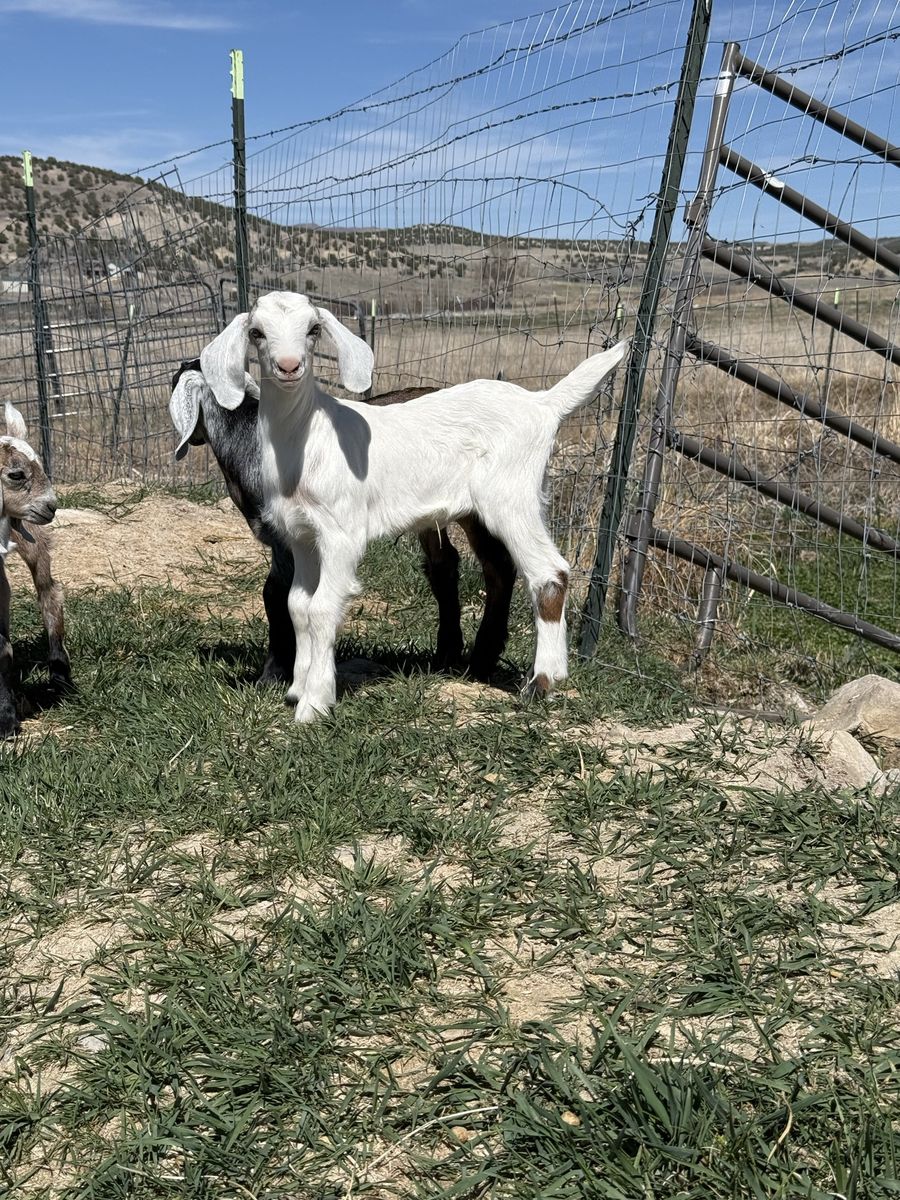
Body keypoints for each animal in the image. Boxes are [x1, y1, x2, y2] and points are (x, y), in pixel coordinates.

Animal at [170, 363, 516, 685]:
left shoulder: (288, 537)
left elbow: (275, 594)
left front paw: (273, 674)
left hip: (482, 506)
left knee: (498, 566)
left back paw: (482, 659)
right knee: (444, 565)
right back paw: (446, 656)